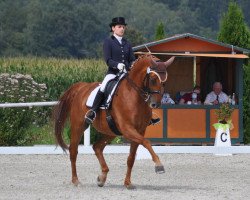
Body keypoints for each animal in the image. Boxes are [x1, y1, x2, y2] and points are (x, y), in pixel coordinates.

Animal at [53, 54, 175, 189]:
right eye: (153, 79)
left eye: (164, 82)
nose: (155, 104)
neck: (134, 95)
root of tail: (81, 87)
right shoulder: (128, 129)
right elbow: (146, 142)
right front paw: (159, 165)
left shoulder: (140, 130)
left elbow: (131, 158)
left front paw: (128, 183)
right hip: (79, 126)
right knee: (73, 151)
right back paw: (76, 180)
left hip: (111, 131)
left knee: (97, 147)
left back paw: (102, 177)